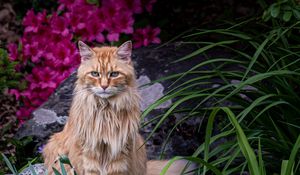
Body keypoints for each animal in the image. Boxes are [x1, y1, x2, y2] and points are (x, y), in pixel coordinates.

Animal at [42, 40, 195, 174]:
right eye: (95, 74)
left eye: (114, 74)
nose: (104, 86)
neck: (106, 111)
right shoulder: (90, 154)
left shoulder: (119, 153)